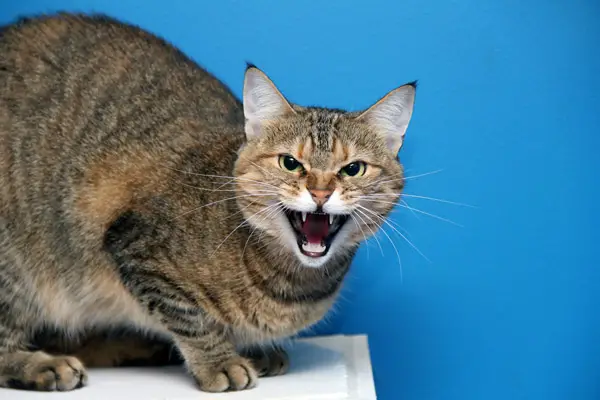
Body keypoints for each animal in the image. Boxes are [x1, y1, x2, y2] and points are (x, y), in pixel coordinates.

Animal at [0, 11, 414, 394]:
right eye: (290, 163)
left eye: (353, 169)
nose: (321, 193)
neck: (289, 283)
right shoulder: (136, 245)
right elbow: (190, 316)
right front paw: (219, 361)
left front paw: (253, 349)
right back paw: (44, 364)